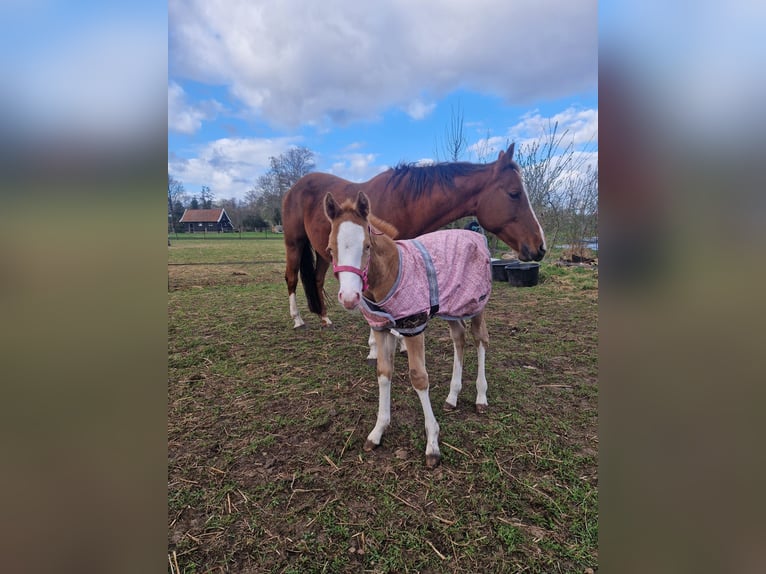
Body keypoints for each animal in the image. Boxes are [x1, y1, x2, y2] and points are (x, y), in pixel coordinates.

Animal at [282, 142, 546, 360]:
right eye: (514, 193)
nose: (540, 246)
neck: (403, 202)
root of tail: (294, 188)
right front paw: (375, 348)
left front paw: (399, 342)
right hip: (294, 244)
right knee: (291, 278)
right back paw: (297, 320)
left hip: (323, 253)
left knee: (316, 280)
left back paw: (324, 317)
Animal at [324, 190, 494, 468]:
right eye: (330, 249)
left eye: (367, 246)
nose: (349, 298)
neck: (390, 274)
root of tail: (476, 234)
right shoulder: (381, 328)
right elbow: (383, 373)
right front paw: (377, 432)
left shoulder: (414, 326)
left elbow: (419, 377)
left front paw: (433, 445)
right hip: (451, 307)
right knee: (459, 338)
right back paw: (452, 397)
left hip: (476, 304)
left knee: (480, 339)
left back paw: (481, 397)